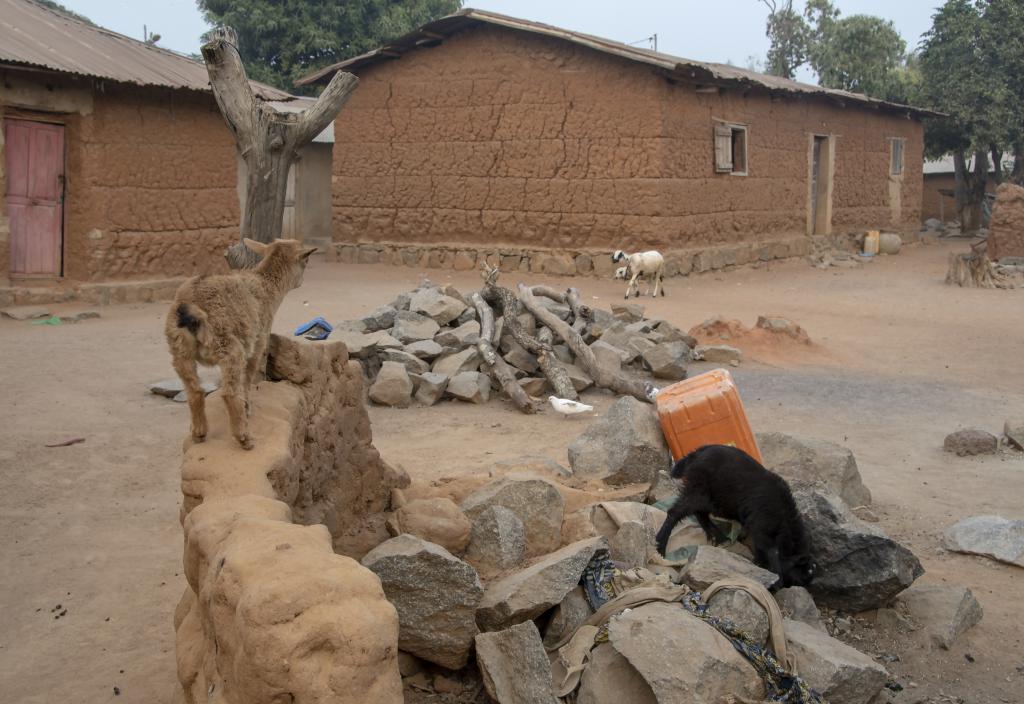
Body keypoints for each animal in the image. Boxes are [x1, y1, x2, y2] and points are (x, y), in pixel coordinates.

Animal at [163, 239, 313, 448]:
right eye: (305, 260)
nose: (301, 282)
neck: (267, 286)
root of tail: (191, 306)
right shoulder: (258, 342)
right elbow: (248, 378)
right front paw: (247, 406)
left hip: (179, 349)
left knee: (194, 390)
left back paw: (199, 433)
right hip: (229, 347)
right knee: (229, 393)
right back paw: (244, 437)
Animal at [655, 446, 815, 589]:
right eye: (799, 577)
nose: (791, 587)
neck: (784, 521)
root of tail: (696, 452)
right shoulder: (762, 531)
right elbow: (766, 553)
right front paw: (765, 571)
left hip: (712, 498)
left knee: (700, 513)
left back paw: (719, 538)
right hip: (699, 490)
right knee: (675, 512)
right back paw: (660, 546)